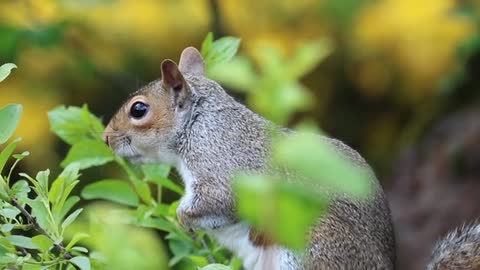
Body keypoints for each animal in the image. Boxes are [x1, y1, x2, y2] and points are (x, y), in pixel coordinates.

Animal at [104, 47, 480, 270]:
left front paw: (182, 219)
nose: (106, 138)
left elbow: (217, 201)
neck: (199, 124)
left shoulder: (222, 165)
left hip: (308, 248)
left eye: (139, 110)